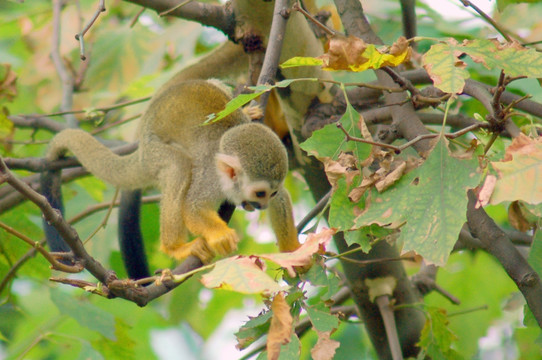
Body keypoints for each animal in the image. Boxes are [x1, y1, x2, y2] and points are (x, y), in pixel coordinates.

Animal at [45, 79, 302, 262]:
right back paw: (176, 248)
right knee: (178, 167)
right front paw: (220, 235)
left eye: (271, 193)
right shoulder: (210, 177)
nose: (263, 205)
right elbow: (192, 206)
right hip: (154, 152)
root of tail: (141, 146)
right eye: (259, 193)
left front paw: (294, 254)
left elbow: (283, 199)